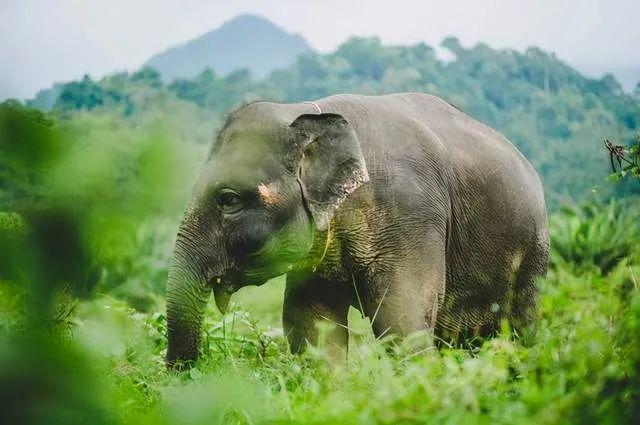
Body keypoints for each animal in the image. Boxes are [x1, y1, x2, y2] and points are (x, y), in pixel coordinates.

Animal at [165, 91, 552, 366]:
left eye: (228, 199)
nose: (188, 373)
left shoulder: (411, 215)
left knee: (521, 326)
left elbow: (401, 319)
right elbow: (311, 322)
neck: (310, 113)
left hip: (534, 254)